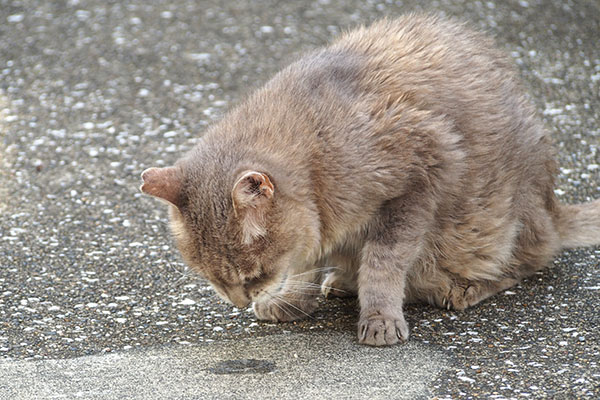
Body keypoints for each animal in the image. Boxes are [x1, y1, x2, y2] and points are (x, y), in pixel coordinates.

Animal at [139, 14, 600, 346]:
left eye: (253, 275)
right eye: (213, 279)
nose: (239, 301)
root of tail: (553, 209)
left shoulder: (422, 173)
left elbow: (384, 261)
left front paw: (379, 317)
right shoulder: (316, 229)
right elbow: (306, 262)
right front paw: (293, 298)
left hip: (500, 220)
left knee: (530, 259)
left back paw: (462, 286)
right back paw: (343, 280)